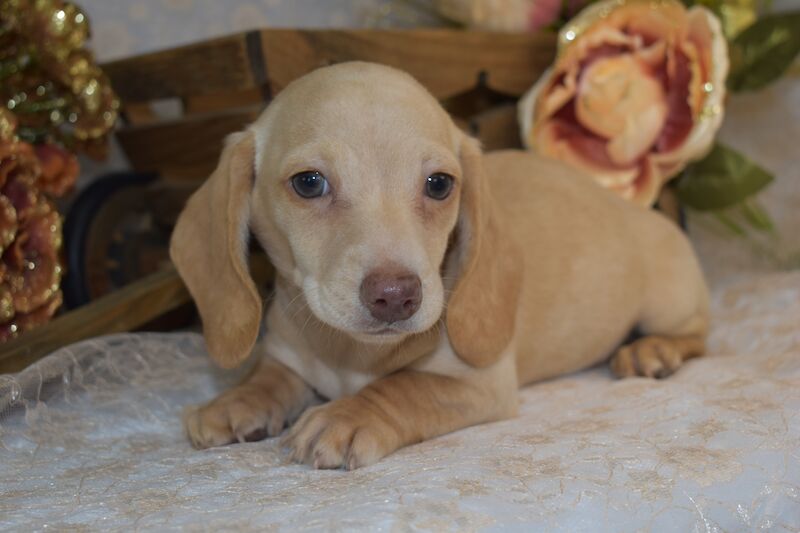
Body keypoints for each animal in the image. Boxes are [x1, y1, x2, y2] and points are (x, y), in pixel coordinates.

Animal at [170, 63, 708, 470]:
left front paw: (349, 414)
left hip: (669, 300)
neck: (351, 355)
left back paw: (653, 350)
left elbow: (404, 387)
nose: (396, 297)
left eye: (439, 184)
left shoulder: (477, 384)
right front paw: (236, 400)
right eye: (308, 182)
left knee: (698, 336)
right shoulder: (287, 355)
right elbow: (269, 376)